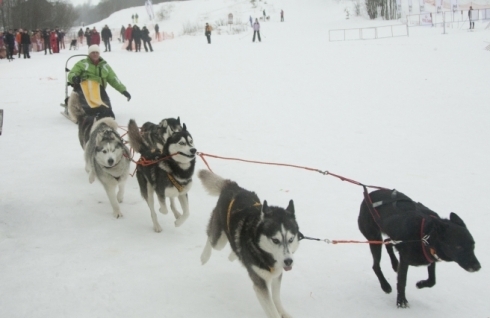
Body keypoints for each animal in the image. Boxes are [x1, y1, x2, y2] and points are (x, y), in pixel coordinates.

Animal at [198, 170, 298, 318]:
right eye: (275, 240)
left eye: (291, 239)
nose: (288, 261)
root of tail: (233, 186)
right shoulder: (260, 284)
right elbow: (272, 310)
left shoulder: (277, 274)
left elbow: (276, 298)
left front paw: (284, 313)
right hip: (219, 240)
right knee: (211, 237)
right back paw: (205, 256)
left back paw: (234, 254)